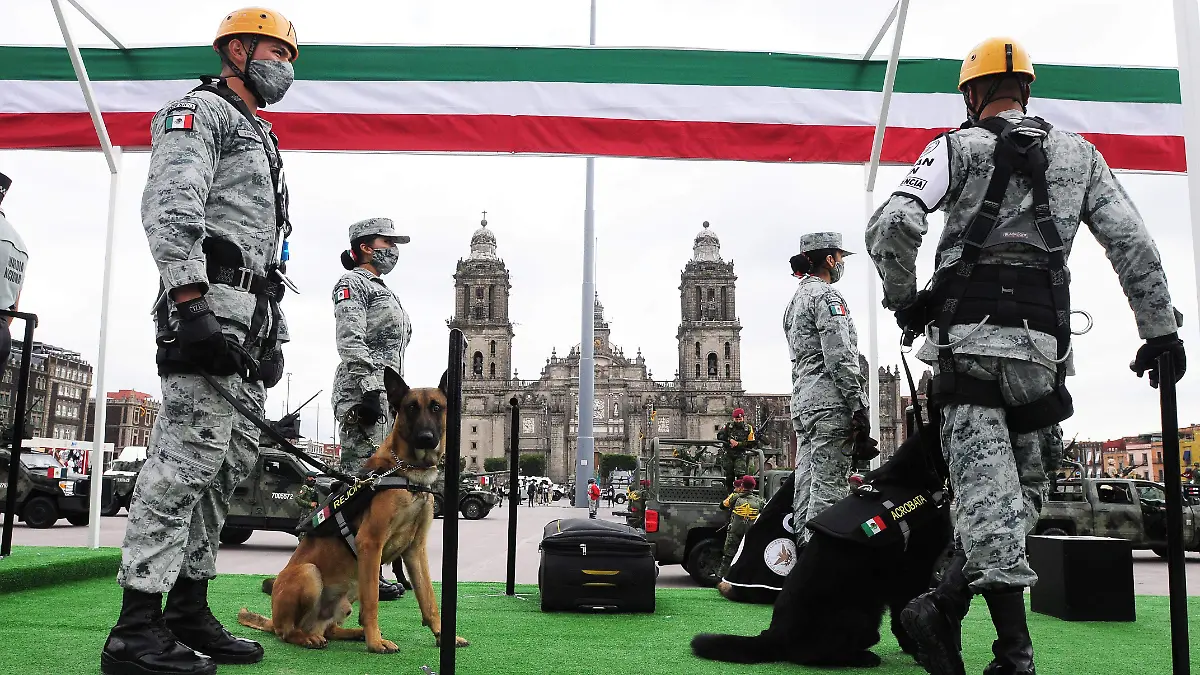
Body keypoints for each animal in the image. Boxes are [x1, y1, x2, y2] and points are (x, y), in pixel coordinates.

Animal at [235, 367, 468, 653]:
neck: (406, 472)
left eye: (436, 407)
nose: (426, 438)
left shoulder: (415, 550)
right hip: (311, 574)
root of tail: (274, 619)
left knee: (330, 629)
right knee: (287, 632)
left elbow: (429, 598)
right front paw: (375, 642)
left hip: (350, 589)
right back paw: (309, 637)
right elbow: (373, 602)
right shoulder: (370, 543)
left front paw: (443, 635)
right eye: (411, 408)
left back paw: (351, 633)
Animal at [691, 422, 950, 662]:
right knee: (815, 653)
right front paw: (918, 649)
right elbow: (904, 612)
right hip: (859, 608)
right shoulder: (914, 571)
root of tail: (773, 636)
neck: (912, 478)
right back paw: (863, 658)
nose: (877, 444)